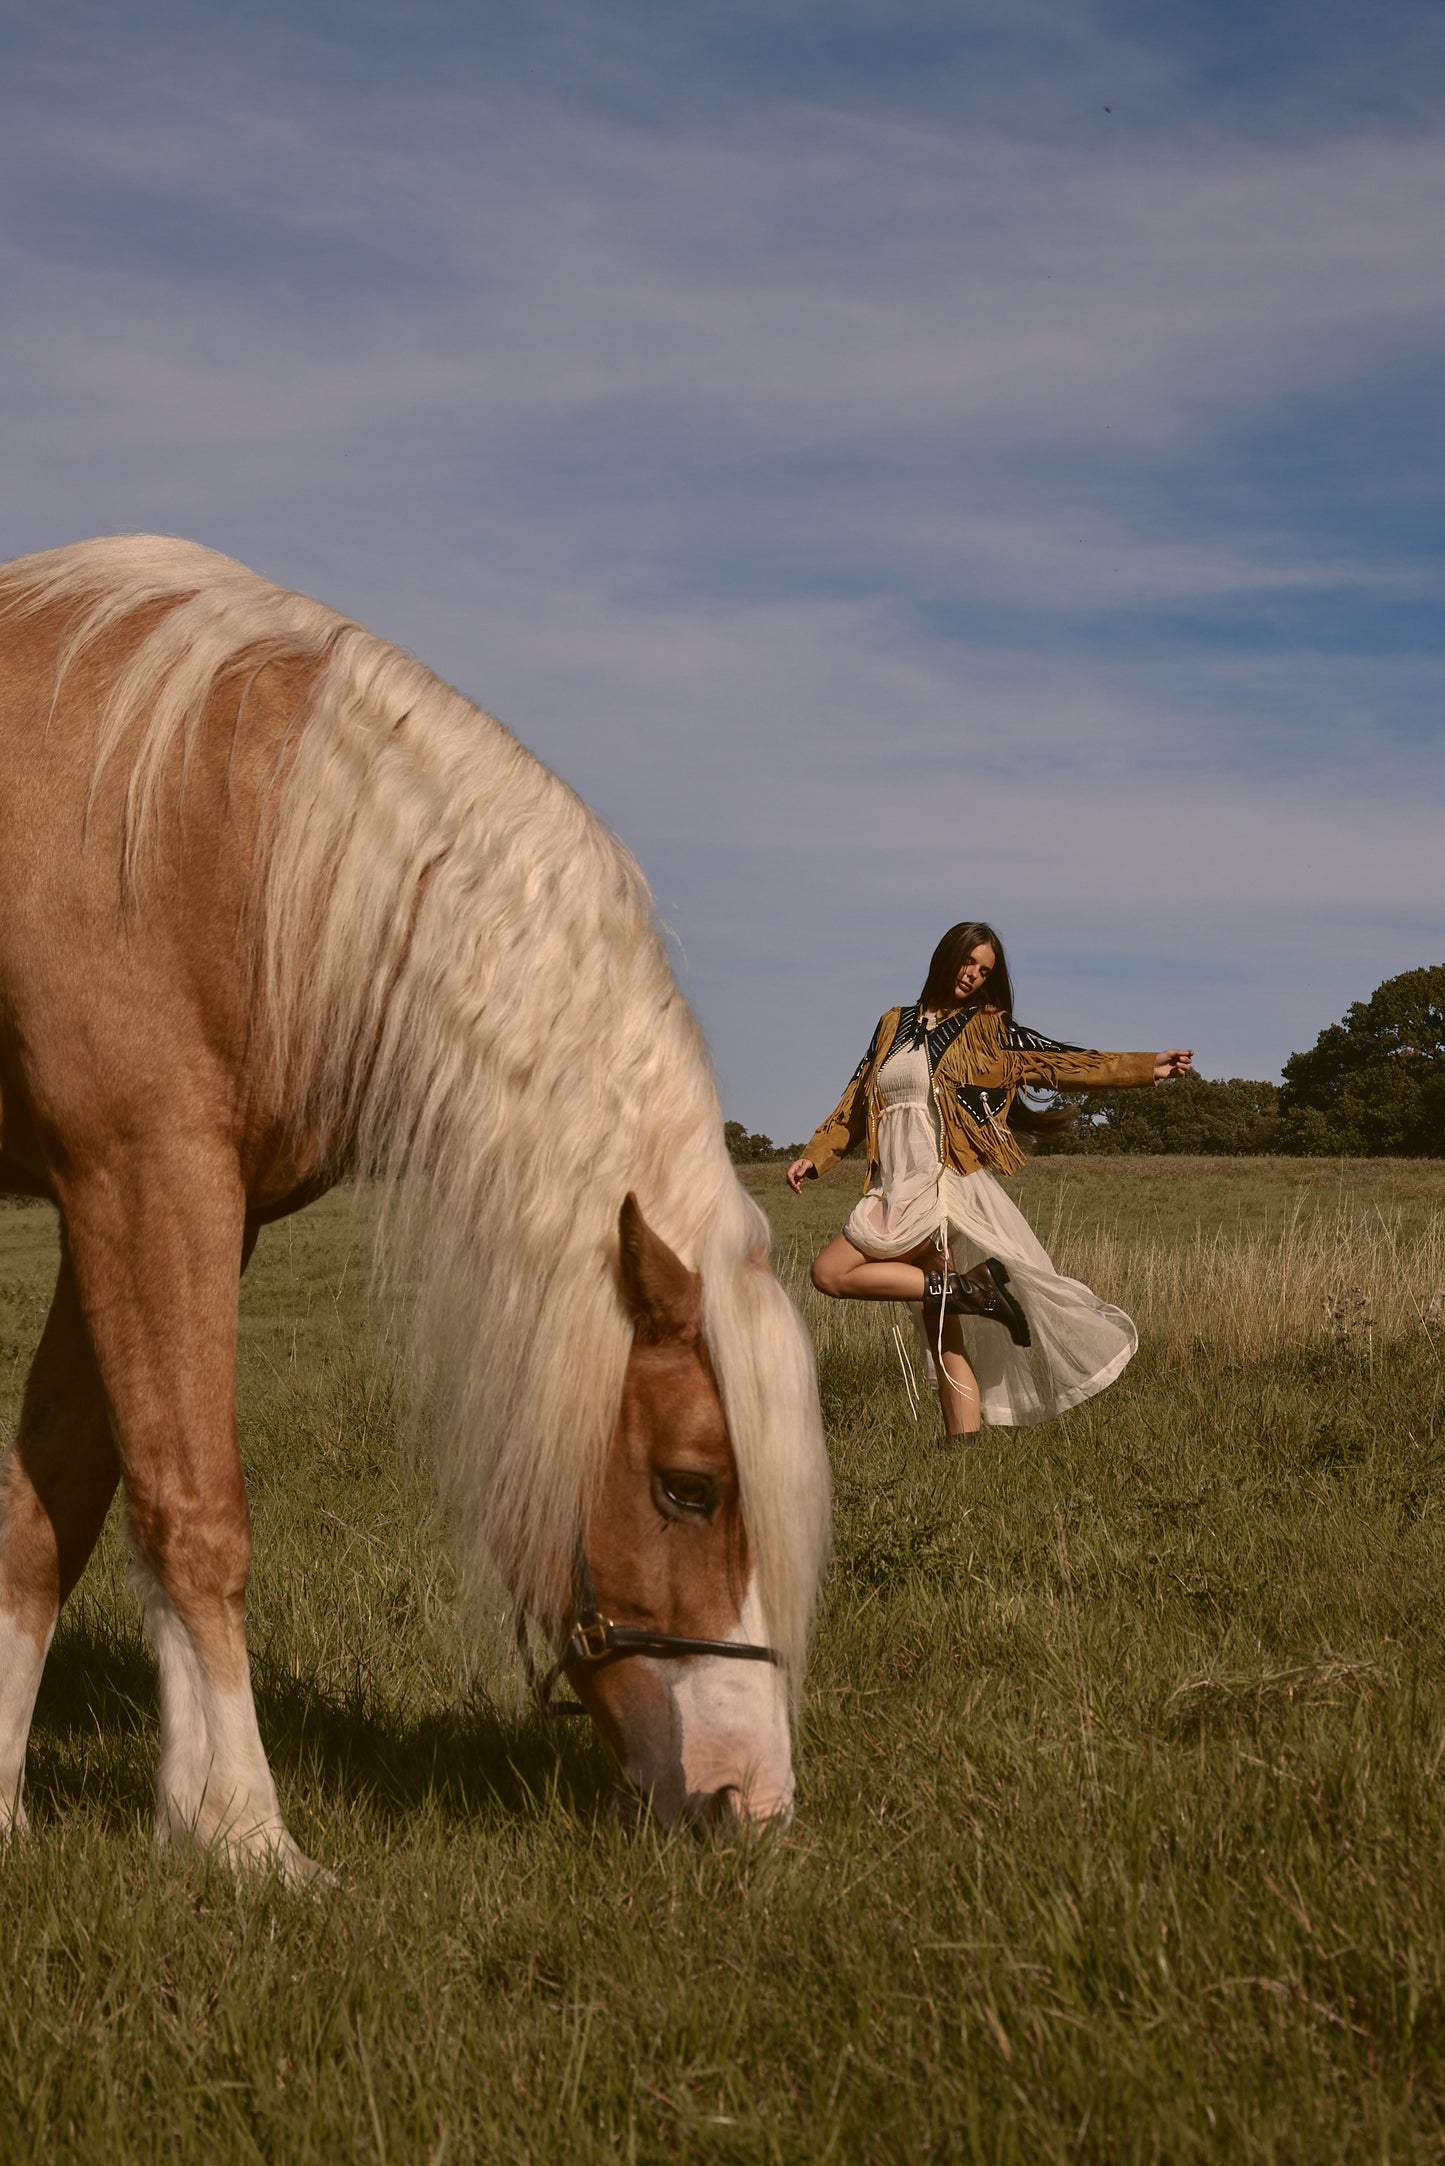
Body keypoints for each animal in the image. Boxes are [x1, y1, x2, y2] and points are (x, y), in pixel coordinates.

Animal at [0, 537, 831, 1880]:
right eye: (688, 1487)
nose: (747, 1803)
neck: (214, 824)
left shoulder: (150, 1206)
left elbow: (53, 1505)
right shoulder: (143, 1177)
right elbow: (195, 1507)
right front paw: (246, 1834)